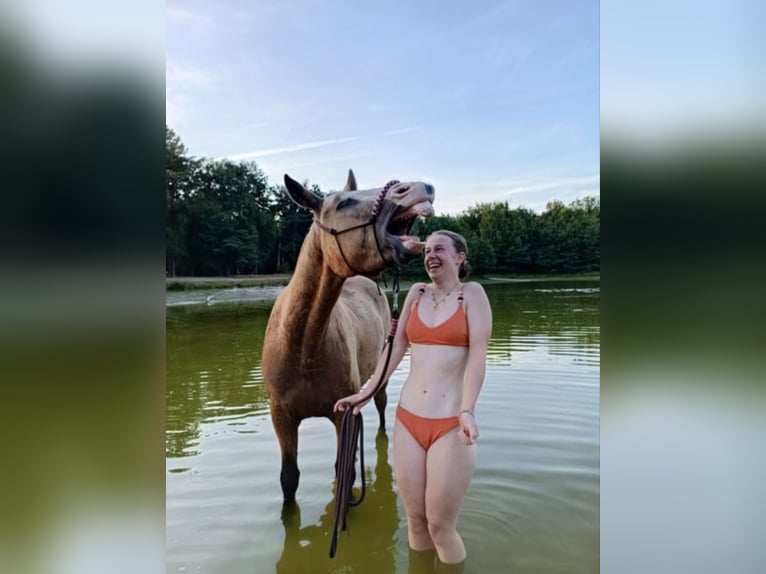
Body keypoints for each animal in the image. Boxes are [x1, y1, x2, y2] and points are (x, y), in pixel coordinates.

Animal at [261, 170, 435, 503]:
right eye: (343, 203)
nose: (421, 187)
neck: (304, 346)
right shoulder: (282, 417)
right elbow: (289, 478)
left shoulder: (342, 414)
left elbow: (345, 474)